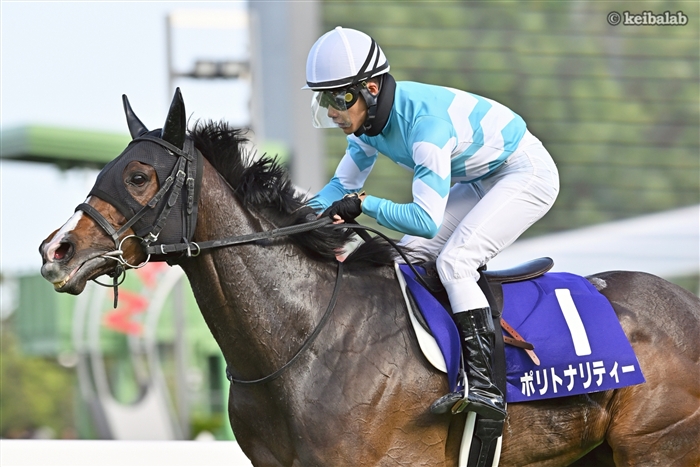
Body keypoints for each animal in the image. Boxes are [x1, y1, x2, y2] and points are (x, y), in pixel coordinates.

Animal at [39, 89, 700, 466]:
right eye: (105, 170)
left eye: (140, 177)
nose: (56, 250)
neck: (302, 340)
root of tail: (685, 303)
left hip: (657, 447)